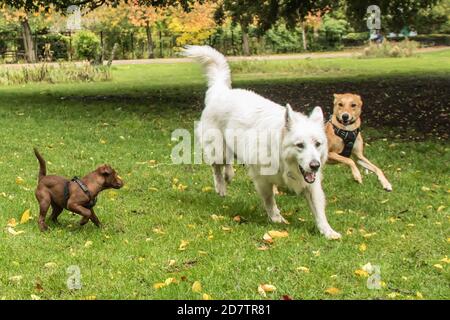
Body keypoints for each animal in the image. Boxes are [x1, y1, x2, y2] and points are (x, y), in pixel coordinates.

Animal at [183, 45, 342, 240]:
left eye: (318, 144)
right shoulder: (262, 179)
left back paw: (229, 175)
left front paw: (328, 231)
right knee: (216, 167)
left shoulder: (311, 184)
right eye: (300, 145)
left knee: (228, 162)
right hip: (218, 149)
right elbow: (269, 200)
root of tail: (222, 92)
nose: (315, 166)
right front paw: (276, 218)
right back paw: (221, 186)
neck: (283, 159)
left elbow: (319, 210)